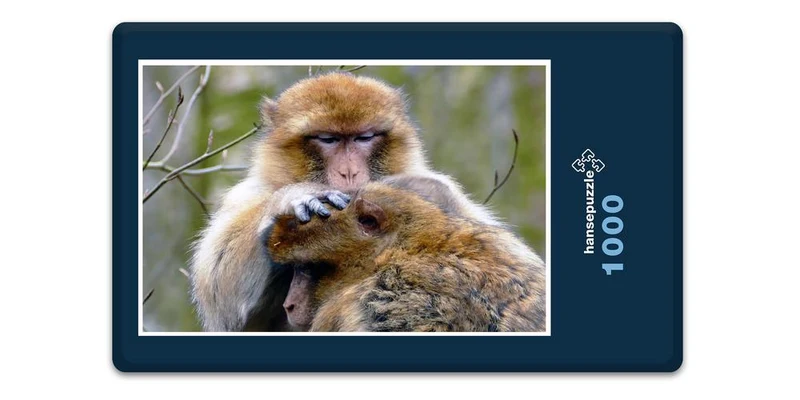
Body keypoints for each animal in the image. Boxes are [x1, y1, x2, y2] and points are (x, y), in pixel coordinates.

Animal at [189, 72, 505, 331]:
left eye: (363, 138)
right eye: (328, 139)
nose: (349, 172)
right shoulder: (247, 195)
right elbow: (220, 294)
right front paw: (294, 197)